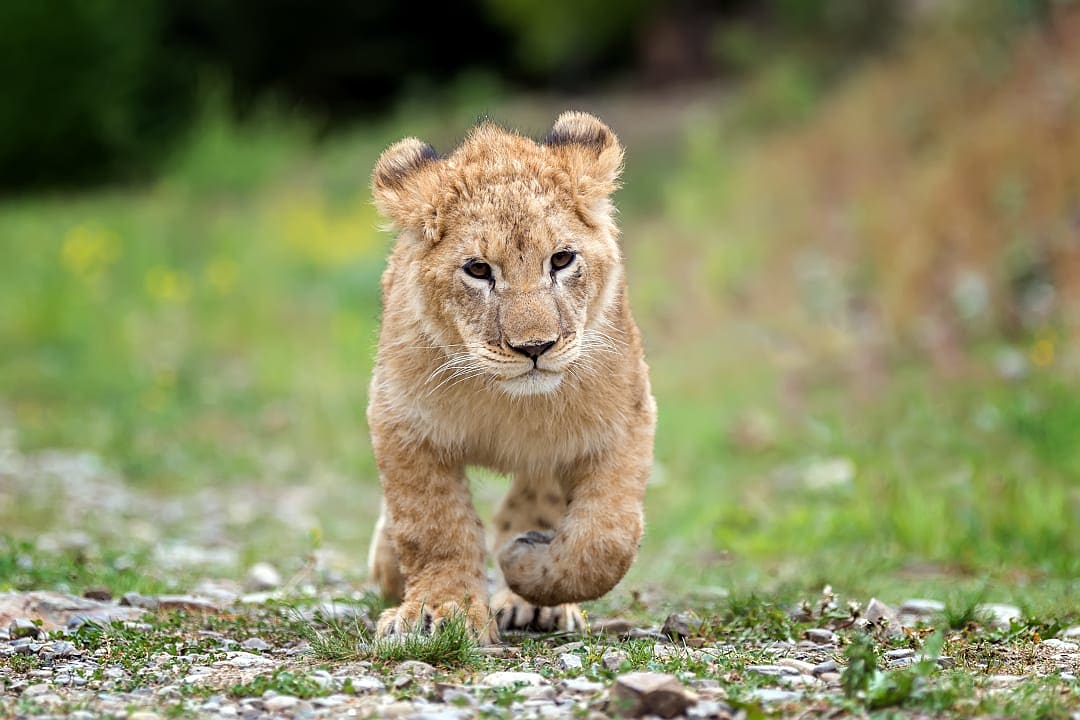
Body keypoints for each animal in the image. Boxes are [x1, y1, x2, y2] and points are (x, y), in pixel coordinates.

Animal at [365, 111, 656, 644]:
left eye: (561, 259)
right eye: (478, 270)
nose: (535, 347)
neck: (510, 401)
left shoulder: (626, 422)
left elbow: (605, 540)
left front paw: (527, 563)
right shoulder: (402, 423)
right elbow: (433, 526)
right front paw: (440, 611)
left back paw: (529, 599)